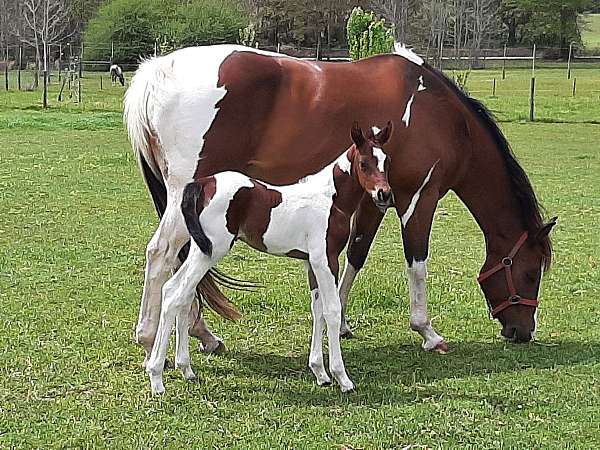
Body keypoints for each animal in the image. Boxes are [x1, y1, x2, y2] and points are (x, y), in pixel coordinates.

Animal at [124, 43, 556, 366]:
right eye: (530, 273)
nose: (522, 332)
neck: (441, 114)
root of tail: (156, 72)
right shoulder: (419, 197)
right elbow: (416, 263)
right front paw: (427, 332)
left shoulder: (375, 200)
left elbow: (356, 254)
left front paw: (342, 321)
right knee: (161, 254)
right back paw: (149, 337)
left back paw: (202, 334)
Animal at [145, 122, 394, 394]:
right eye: (363, 163)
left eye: (386, 161)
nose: (384, 194)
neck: (330, 199)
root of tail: (201, 184)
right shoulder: (325, 260)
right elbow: (332, 310)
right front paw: (342, 378)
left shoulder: (311, 263)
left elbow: (317, 309)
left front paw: (320, 372)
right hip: (210, 252)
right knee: (175, 294)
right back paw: (156, 378)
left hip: (200, 250)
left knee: (181, 293)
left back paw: (186, 369)